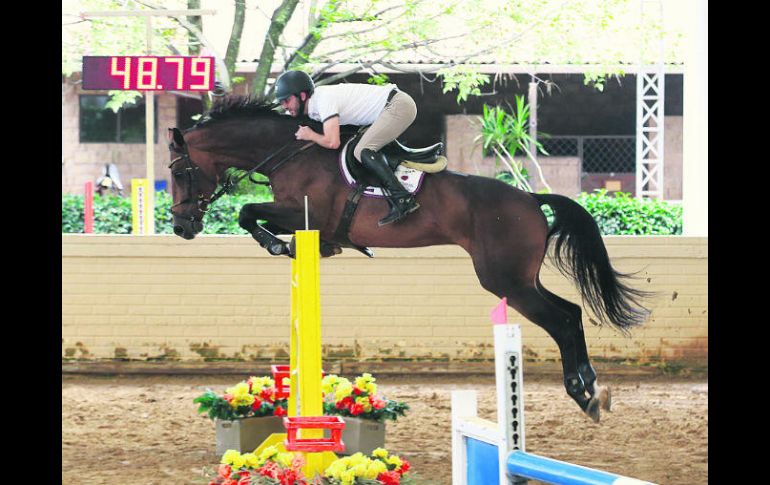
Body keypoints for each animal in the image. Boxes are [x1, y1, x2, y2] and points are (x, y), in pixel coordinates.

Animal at [166, 96, 648, 422]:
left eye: (179, 172)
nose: (181, 227)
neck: (290, 151)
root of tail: (530, 199)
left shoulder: (307, 214)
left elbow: (247, 211)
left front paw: (276, 245)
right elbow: (255, 216)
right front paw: (291, 246)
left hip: (506, 281)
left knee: (562, 320)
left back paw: (584, 393)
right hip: (520, 278)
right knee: (571, 312)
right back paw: (590, 388)